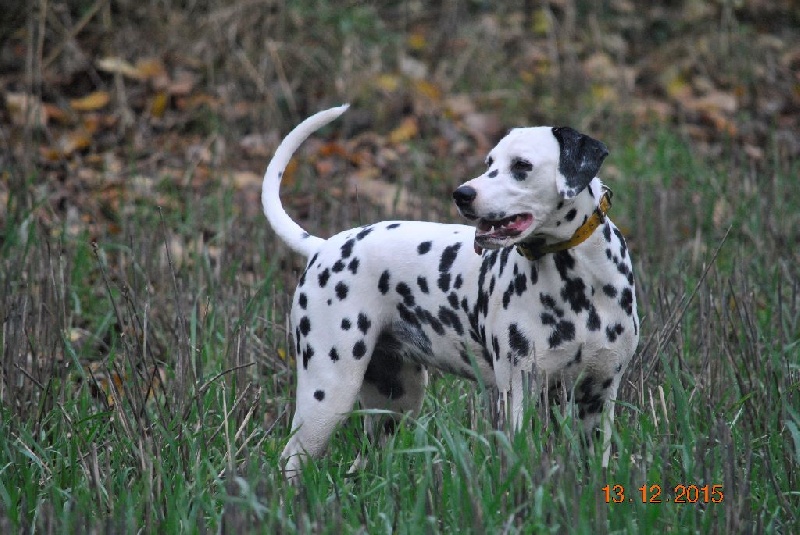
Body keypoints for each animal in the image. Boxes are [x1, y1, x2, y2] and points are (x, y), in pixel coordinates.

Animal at [266, 104, 640, 482]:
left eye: (521, 165)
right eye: (489, 162)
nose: (462, 194)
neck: (579, 287)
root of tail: (324, 246)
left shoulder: (597, 398)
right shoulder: (517, 393)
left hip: (395, 404)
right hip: (328, 397)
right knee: (289, 460)